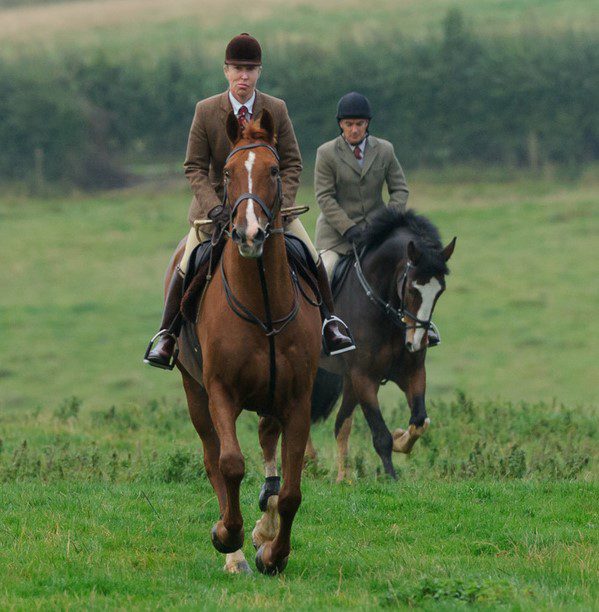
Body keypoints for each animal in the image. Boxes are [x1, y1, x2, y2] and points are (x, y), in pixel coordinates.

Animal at [171, 111, 324, 572]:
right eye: (226, 172)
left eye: (274, 170)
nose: (250, 233)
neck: (263, 302)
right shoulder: (220, 390)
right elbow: (230, 464)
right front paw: (227, 535)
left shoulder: (297, 399)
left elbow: (290, 491)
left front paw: (274, 553)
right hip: (194, 391)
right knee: (213, 458)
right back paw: (235, 553)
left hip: (271, 397)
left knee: (269, 451)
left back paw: (264, 530)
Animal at [312, 208, 458, 480]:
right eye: (411, 289)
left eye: (440, 291)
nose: (416, 341)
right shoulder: (364, 377)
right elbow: (381, 435)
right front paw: (391, 477)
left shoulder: (412, 372)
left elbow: (420, 421)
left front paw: (402, 438)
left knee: (340, 424)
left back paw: (340, 477)